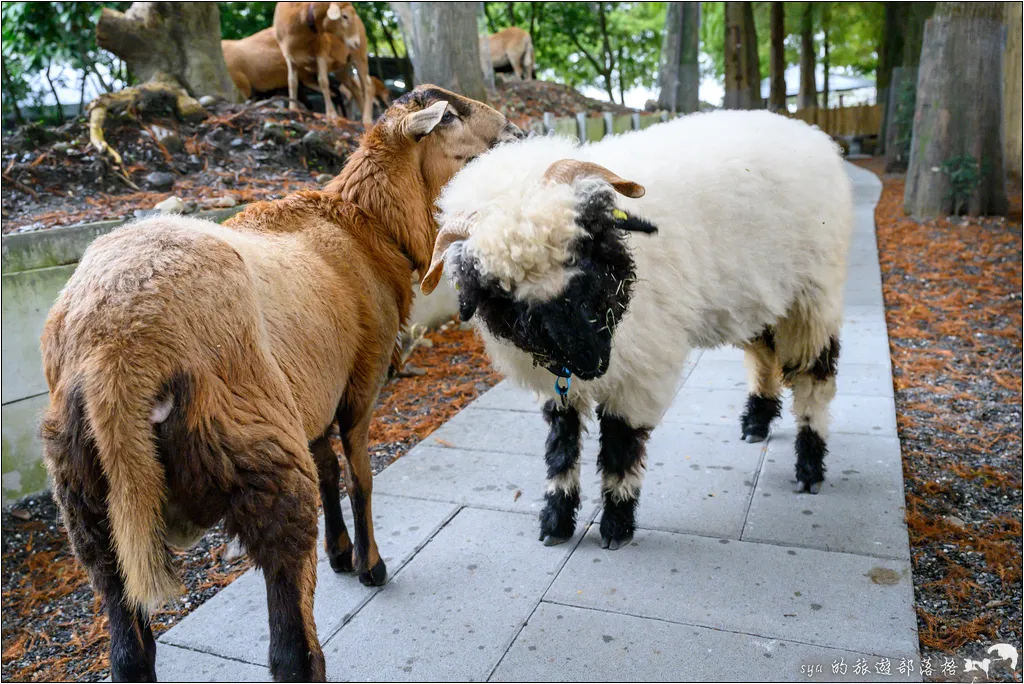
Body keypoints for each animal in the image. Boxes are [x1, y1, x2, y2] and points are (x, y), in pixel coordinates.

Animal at [39, 82, 524, 679]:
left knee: (129, 650)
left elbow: (328, 470)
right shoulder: (359, 383)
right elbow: (360, 476)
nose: (517, 131)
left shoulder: (312, 391)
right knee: (290, 646)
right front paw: (369, 565)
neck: (364, 225)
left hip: (86, 498)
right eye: (450, 114)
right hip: (260, 453)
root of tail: (115, 350)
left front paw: (340, 554)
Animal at [419, 112, 851, 548]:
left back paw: (810, 467)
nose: (591, 361)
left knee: (814, 379)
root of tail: (807, 131)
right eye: (505, 294)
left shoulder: (642, 369)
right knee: (763, 355)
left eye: (585, 250)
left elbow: (620, 443)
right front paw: (556, 521)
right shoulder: (556, 381)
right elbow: (561, 444)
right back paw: (757, 423)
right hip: (758, 297)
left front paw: (616, 525)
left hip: (811, 297)